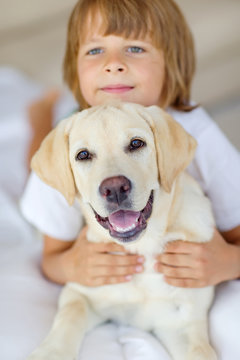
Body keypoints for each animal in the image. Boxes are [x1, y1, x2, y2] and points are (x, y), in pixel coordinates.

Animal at [27, 102, 216, 358]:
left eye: (136, 143)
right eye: (83, 155)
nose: (115, 188)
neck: (141, 247)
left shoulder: (184, 322)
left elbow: (200, 351)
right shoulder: (79, 292)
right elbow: (68, 317)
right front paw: (50, 352)